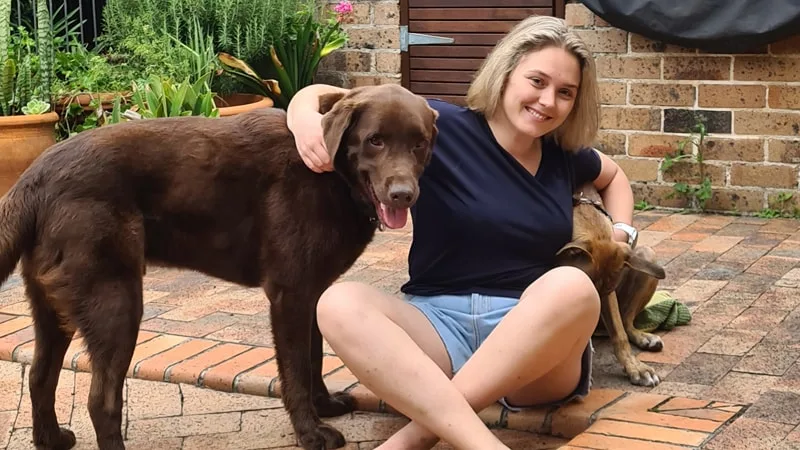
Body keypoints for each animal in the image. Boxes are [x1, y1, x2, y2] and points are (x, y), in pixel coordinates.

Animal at [0, 82, 438, 448]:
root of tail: (33, 178)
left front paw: (325, 406)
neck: (331, 173)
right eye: (375, 141)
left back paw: (52, 440)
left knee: (39, 376)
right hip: (115, 301)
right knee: (101, 401)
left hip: (52, 305)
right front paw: (311, 433)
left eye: (419, 144)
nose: (403, 195)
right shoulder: (291, 294)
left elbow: (314, 359)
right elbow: (296, 371)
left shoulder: (313, 293)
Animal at [552, 183, 664, 386]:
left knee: (626, 322)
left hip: (647, 255)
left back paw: (643, 337)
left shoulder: (609, 296)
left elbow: (620, 334)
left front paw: (636, 368)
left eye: (606, 290)